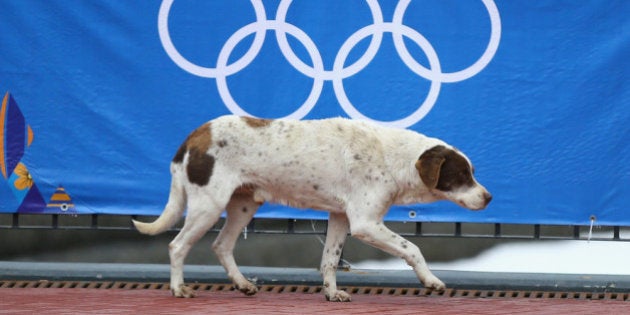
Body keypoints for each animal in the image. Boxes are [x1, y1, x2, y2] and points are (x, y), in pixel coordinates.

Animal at [133, 115, 492, 302]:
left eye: (472, 173)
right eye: (462, 175)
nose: (489, 197)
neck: (394, 158)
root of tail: (194, 136)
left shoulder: (340, 217)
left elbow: (329, 261)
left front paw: (332, 293)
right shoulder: (365, 223)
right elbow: (413, 248)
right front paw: (430, 280)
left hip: (244, 205)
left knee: (221, 246)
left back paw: (243, 284)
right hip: (208, 206)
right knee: (177, 245)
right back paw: (178, 288)